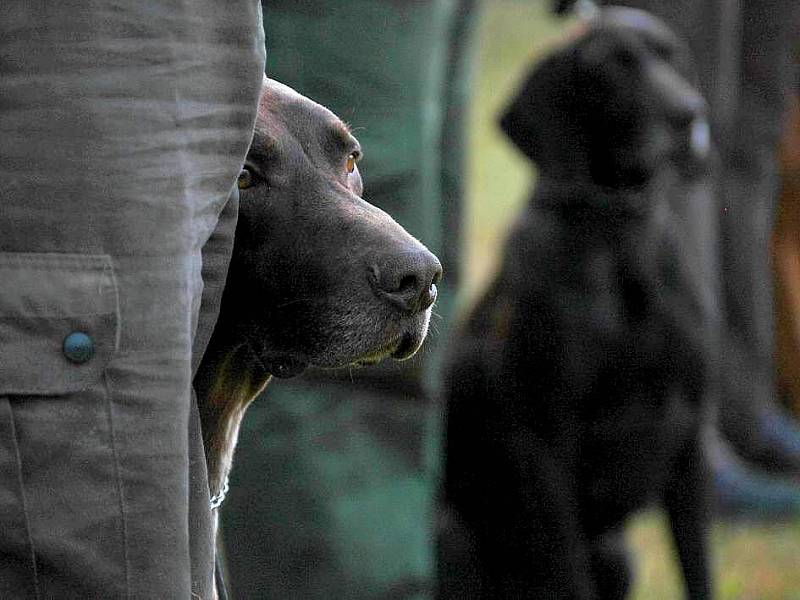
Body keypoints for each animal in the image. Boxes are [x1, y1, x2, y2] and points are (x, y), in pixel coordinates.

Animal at [440, 9, 716, 600]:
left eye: (673, 56)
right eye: (612, 68)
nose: (689, 115)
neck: (619, 241)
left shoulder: (688, 442)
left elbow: (699, 572)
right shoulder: (547, 448)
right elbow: (568, 573)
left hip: (617, 554)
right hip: (452, 536)